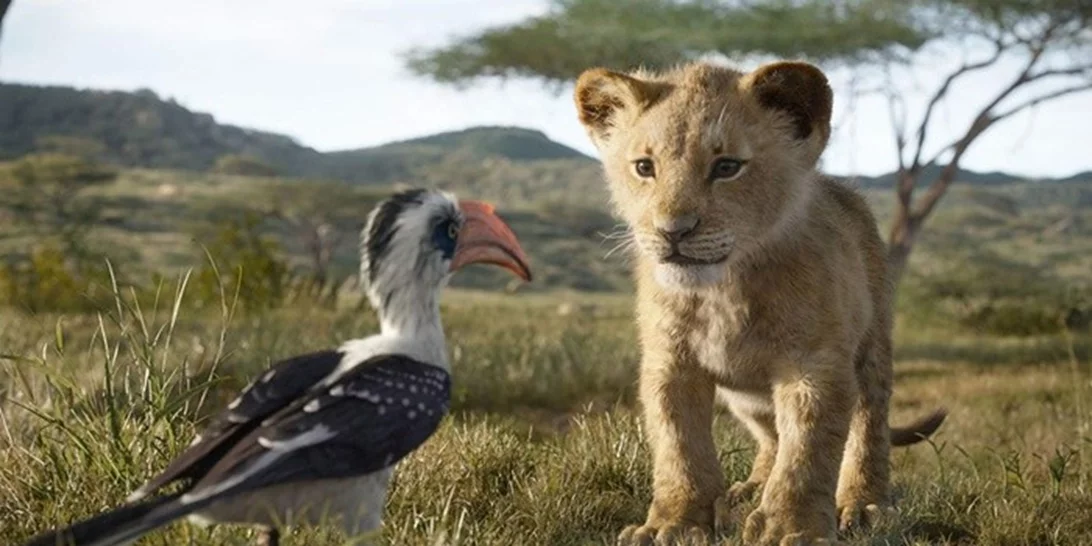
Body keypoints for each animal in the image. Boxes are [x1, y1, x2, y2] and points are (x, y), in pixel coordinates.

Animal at [571, 60, 947, 545]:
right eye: (644, 167)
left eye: (727, 166)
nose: (673, 231)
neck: (722, 291)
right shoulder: (670, 363)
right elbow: (679, 447)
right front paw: (674, 523)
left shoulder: (814, 364)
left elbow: (807, 451)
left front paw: (793, 528)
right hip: (745, 396)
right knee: (771, 436)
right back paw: (749, 490)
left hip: (873, 346)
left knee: (868, 424)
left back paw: (864, 504)